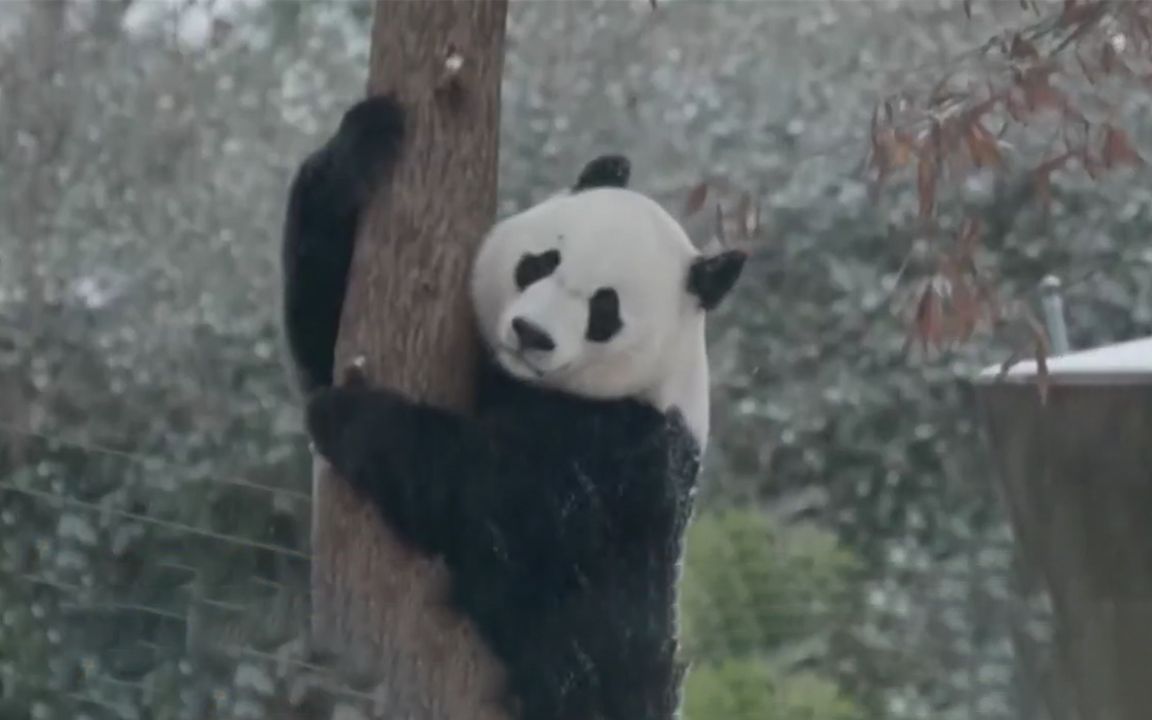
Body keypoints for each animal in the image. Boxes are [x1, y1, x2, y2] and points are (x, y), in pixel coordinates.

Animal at [279, 95, 746, 718]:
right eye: (540, 262)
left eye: (604, 310)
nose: (531, 334)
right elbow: (322, 328)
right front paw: (364, 141)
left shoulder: (637, 451)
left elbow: (514, 502)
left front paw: (349, 416)